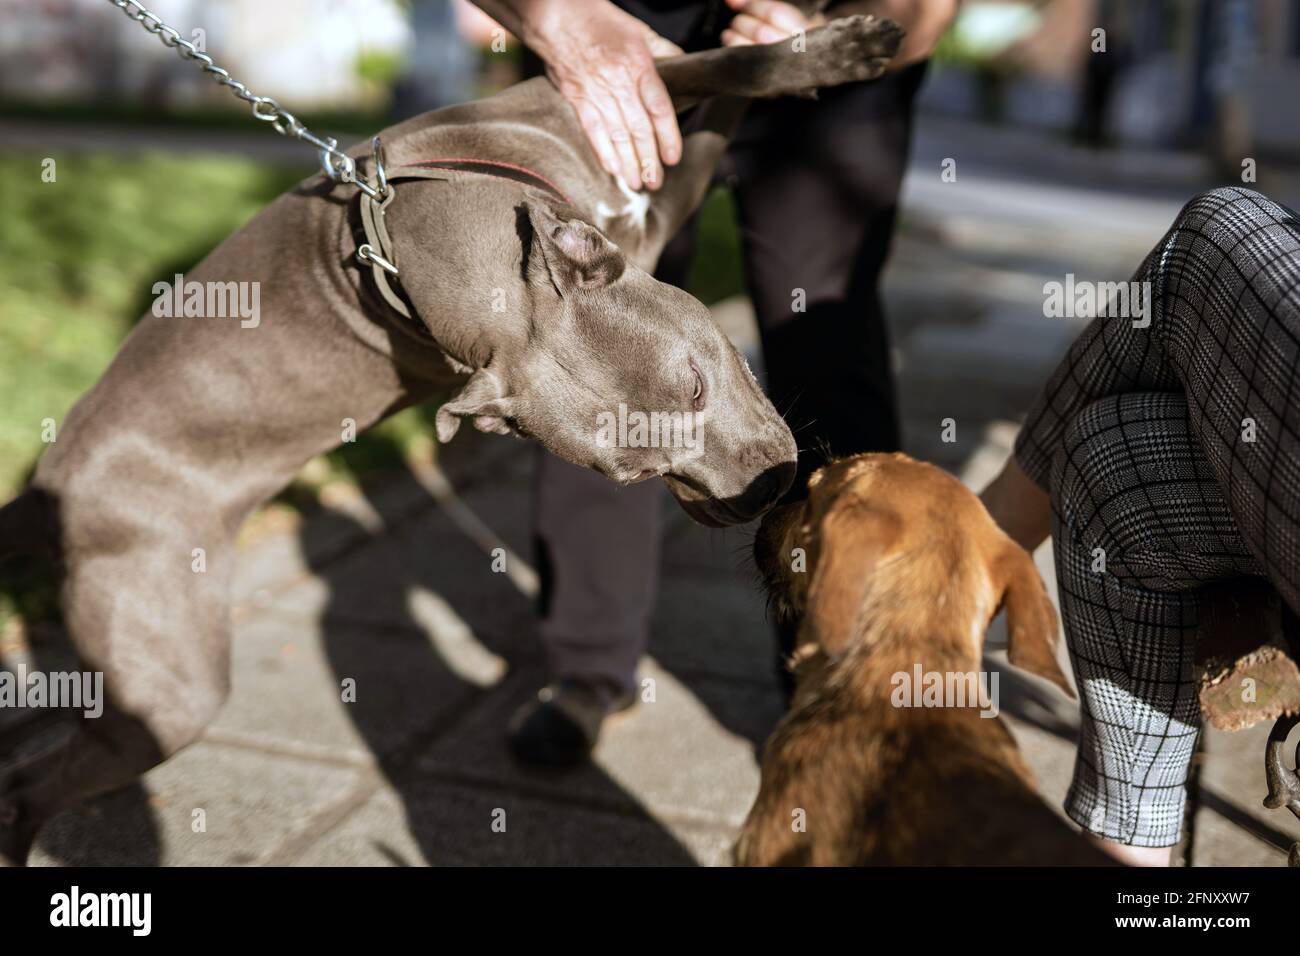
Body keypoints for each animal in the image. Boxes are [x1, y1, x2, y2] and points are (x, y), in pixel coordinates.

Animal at [0, 7, 899, 863]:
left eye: (696, 383)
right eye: (636, 472)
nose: (768, 488)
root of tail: (46, 481)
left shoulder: (610, 101)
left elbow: (718, 70)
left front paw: (811, 44)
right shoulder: (652, 184)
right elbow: (725, 104)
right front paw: (837, 49)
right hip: (168, 679)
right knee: (40, 779)